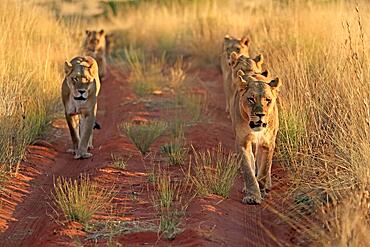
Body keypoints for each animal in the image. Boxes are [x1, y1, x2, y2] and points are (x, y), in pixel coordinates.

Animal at [230, 68, 282, 205]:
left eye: (268, 100)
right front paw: (253, 195)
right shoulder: (242, 142)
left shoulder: (267, 143)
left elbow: (264, 168)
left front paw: (262, 190)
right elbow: (248, 170)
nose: (260, 114)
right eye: (251, 99)